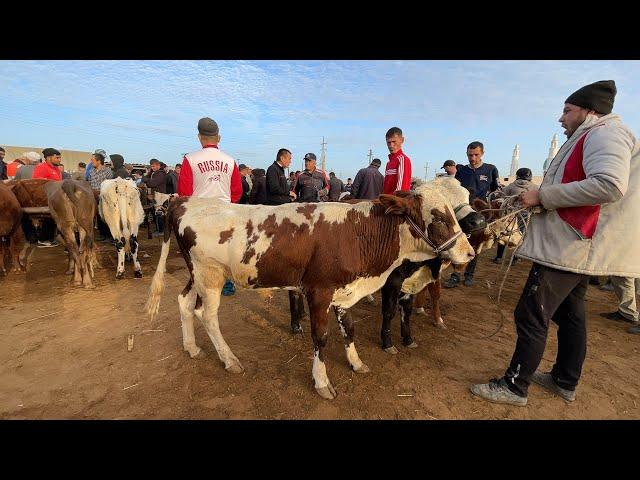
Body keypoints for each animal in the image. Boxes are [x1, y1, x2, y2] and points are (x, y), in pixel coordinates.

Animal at [146, 189, 476, 400]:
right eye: (438, 217)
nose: (470, 252)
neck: (358, 232)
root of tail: (185, 201)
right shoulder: (319, 291)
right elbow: (321, 337)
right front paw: (321, 382)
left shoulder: (345, 291)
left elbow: (350, 330)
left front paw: (356, 363)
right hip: (210, 275)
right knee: (207, 315)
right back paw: (229, 360)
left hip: (196, 276)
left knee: (184, 303)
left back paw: (191, 347)